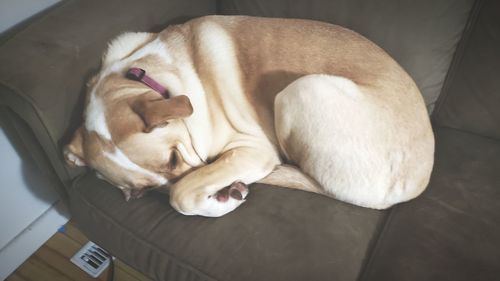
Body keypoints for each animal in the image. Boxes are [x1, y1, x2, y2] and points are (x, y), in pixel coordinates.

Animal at [65, 15, 434, 217]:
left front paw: (221, 200)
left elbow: (181, 194)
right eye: (138, 195)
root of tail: (415, 185)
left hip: (302, 89)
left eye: (172, 158)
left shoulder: (252, 149)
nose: (223, 189)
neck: (142, 74)